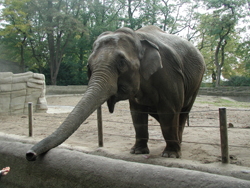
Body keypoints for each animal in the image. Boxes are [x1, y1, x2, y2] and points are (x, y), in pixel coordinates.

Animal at [25, 25, 205, 161]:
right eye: (89, 66)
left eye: (122, 62)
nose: (30, 154)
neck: (138, 36)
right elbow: (137, 114)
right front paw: (137, 152)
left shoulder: (168, 74)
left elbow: (169, 111)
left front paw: (169, 155)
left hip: (197, 81)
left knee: (182, 112)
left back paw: (177, 146)